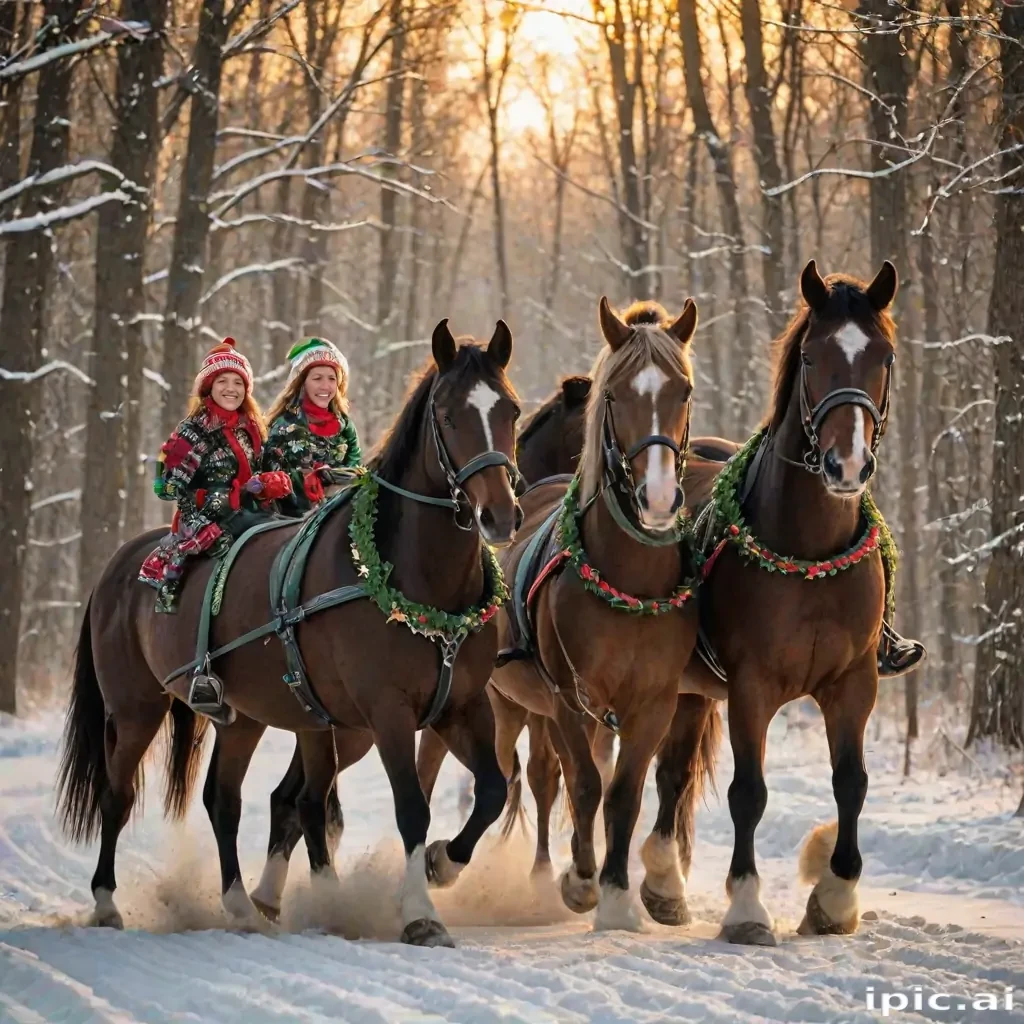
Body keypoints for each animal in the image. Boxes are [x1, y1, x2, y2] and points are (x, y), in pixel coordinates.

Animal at [56, 320, 523, 948]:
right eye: (448, 416)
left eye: (511, 411)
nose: (500, 515)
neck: (417, 583)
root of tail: (121, 563)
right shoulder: (388, 711)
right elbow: (410, 808)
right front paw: (420, 914)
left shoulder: (462, 705)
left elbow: (491, 791)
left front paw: (441, 863)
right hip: (135, 708)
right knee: (118, 793)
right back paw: (108, 902)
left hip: (254, 718)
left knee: (235, 799)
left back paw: (249, 904)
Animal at [476, 295, 713, 930]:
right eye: (616, 394)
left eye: (683, 389)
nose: (658, 497)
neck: (628, 581)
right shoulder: (567, 697)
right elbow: (582, 785)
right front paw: (581, 881)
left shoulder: (653, 703)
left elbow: (622, 794)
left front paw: (615, 891)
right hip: (508, 703)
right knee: (523, 774)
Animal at [654, 259, 900, 945]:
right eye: (813, 357)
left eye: (883, 357)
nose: (848, 465)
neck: (809, 554)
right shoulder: (752, 685)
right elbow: (750, 793)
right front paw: (746, 906)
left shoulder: (855, 681)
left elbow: (852, 782)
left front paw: (835, 899)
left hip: (690, 691)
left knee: (672, 775)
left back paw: (662, 884)